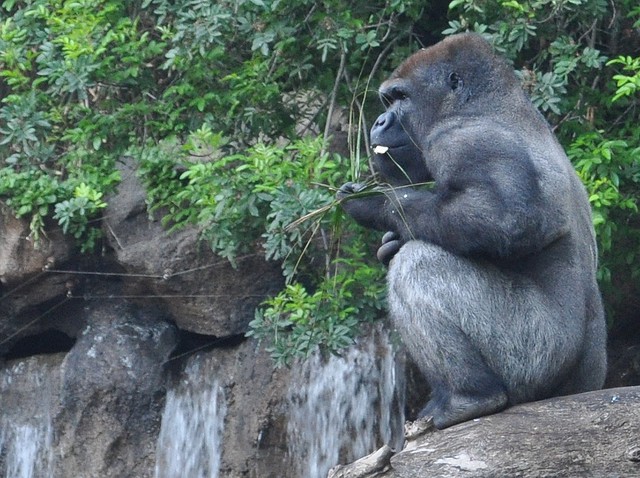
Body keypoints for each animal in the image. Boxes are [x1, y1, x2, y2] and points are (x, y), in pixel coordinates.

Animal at [338, 32, 608, 430]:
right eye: (388, 101)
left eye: (400, 97)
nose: (379, 121)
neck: (482, 105)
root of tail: (582, 388)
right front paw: (388, 238)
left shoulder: (461, 138)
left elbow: (505, 219)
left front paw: (376, 202)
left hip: (535, 358)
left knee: (419, 265)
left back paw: (470, 397)